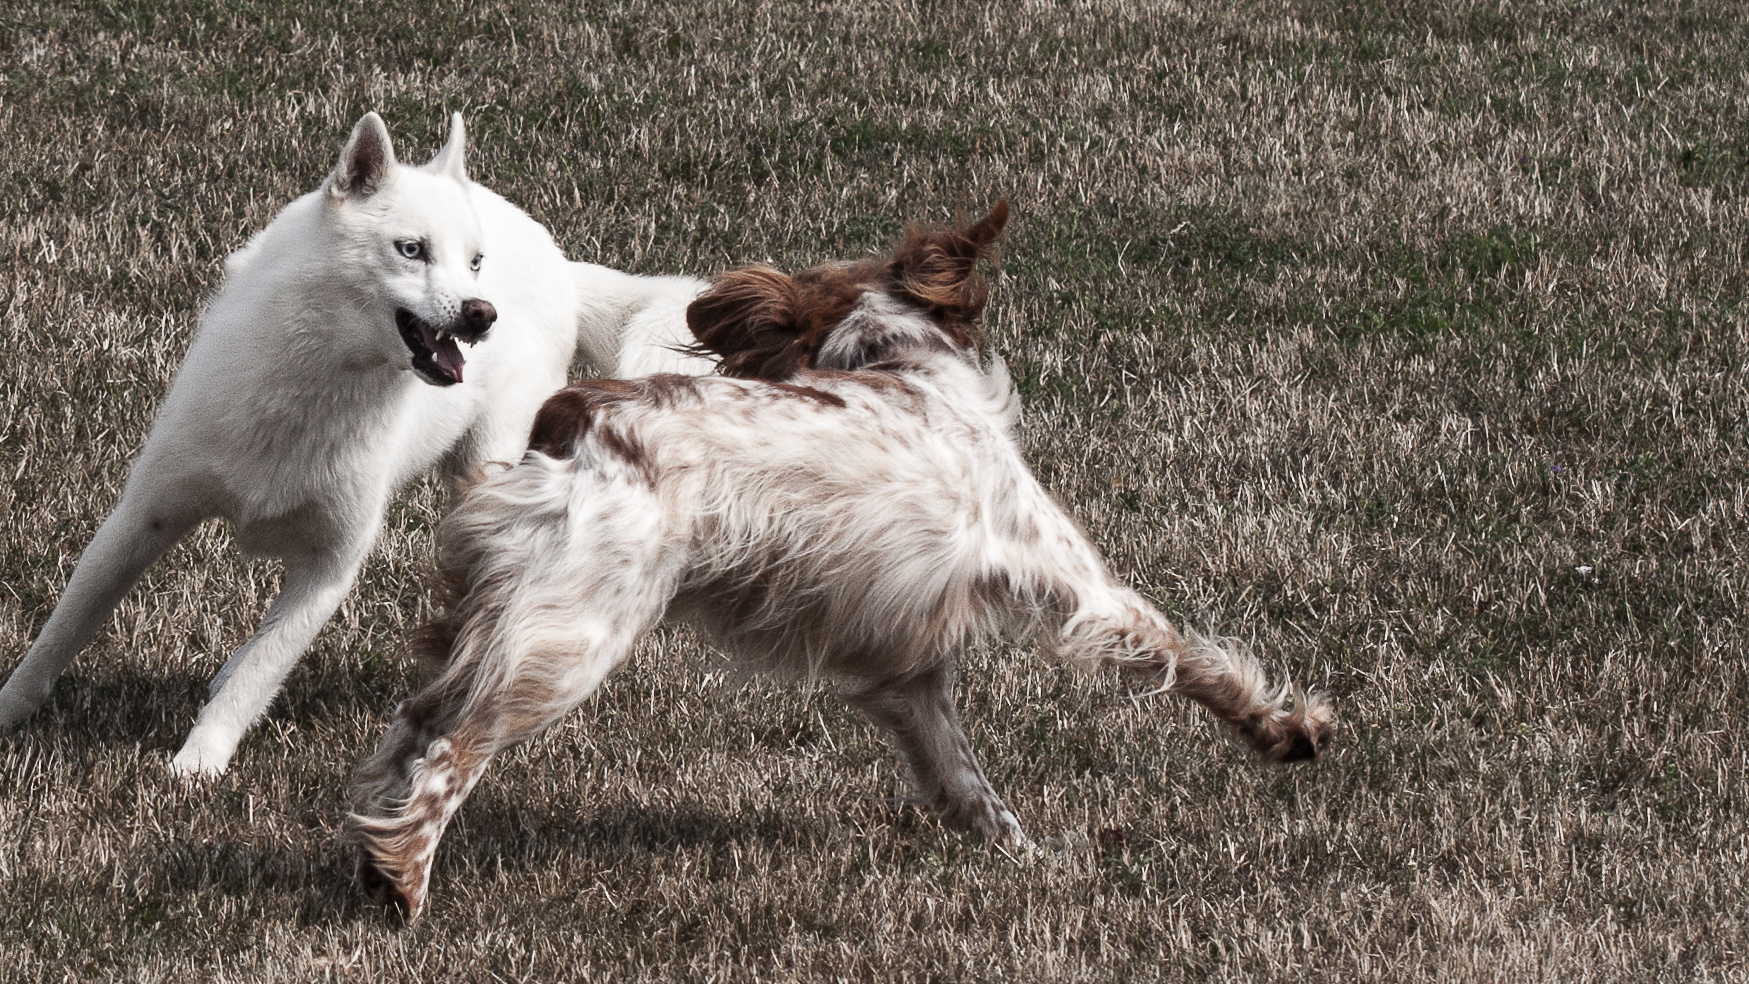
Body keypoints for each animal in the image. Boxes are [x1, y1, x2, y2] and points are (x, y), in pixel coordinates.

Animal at [0, 113, 713, 779]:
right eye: (411, 249)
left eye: (473, 261)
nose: (482, 312)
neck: (318, 385)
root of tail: (559, 261)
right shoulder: (143, 519)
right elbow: (62, 630)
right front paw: (11, 711)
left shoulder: (330, 568)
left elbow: (262, 671)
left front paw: (197, 766)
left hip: (483, 471)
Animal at [351, 200, 1336, 922]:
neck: (905, 366)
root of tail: (574, 418)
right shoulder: (1074, 584)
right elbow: (1192, 658)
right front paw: (1285, 729)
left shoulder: (906, 675)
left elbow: (967, 784)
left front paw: (1025, 857)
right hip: (569, 638)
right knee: (450, 750)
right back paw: (403, 876)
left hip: (504, 621)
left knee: (411, 725)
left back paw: (368, 852)